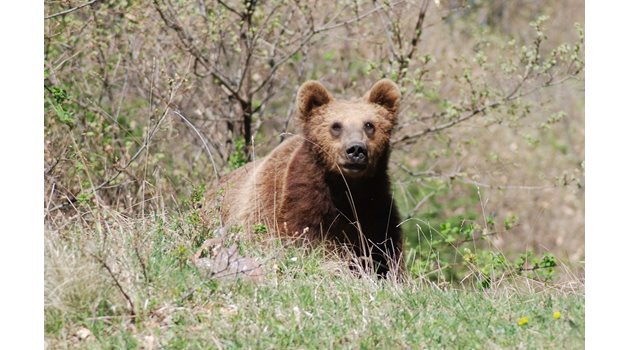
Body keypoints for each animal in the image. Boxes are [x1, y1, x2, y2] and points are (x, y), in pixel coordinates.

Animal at [207, 78, 404, 276]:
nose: (356, 150)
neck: (344, 188)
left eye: (369, 125)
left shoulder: (375, 207)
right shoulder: (296, 203)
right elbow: (307, 241)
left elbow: (385, 250)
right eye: (336, 125)